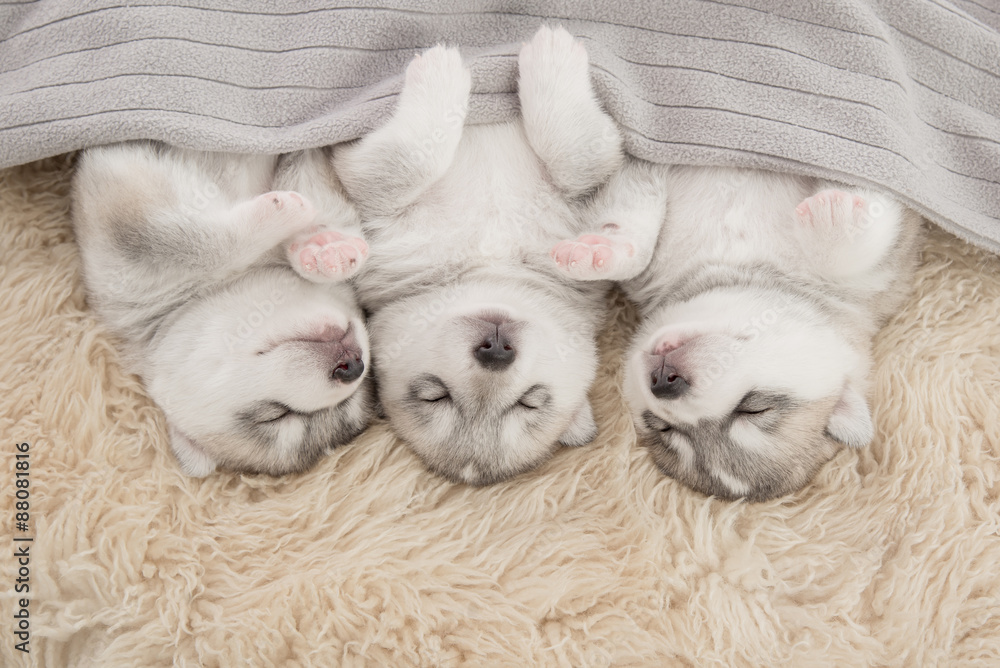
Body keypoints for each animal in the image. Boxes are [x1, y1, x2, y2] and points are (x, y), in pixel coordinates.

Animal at [72, 143, 374, 474]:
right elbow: (198, 246)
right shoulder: (117, 215)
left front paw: (326, 247)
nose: (352, 365)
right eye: (277, 417)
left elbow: (309, 178)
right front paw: (282, 215)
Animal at [332, 27, 652, 486]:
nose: (496, 350)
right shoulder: (372, 203)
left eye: (528, 403)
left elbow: (580, 155)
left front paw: (551, 61)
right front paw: (442, 76)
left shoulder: (582, 197)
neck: (490, 263)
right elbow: (403, 162)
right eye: (436, 396)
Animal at [612, 166, 924, 500]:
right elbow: (632, 252)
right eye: (664, 429)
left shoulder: (878, 278)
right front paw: (602, 249)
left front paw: (835, 218)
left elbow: (858, 251)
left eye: (752, 410)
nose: (663, 382)